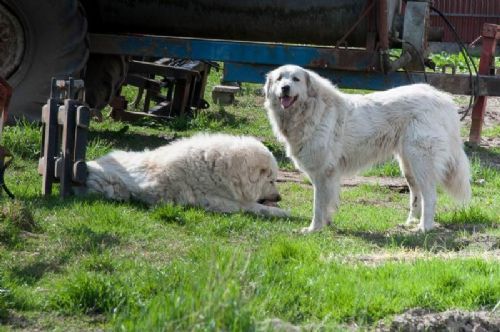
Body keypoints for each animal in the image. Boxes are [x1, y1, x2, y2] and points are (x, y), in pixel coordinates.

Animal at [85, 133, 290, 218]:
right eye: (271, 181)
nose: (279, 197)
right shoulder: (219, 201)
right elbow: (256, 207)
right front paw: (282, 212)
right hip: (114, 187)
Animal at [264, 63, 470, 232]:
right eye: (280, 78)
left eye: (296, 79)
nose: (285, 88)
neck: (312, 110)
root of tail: (442, 98)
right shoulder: (328, 174)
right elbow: (328, 202)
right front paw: (327, 223)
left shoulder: (323, 172)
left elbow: (318, 204)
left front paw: (314, 229)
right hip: (408, 165)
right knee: (416, 194)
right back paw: (410, 222)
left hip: (421, 160)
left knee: (430, 195)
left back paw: (423, 228)